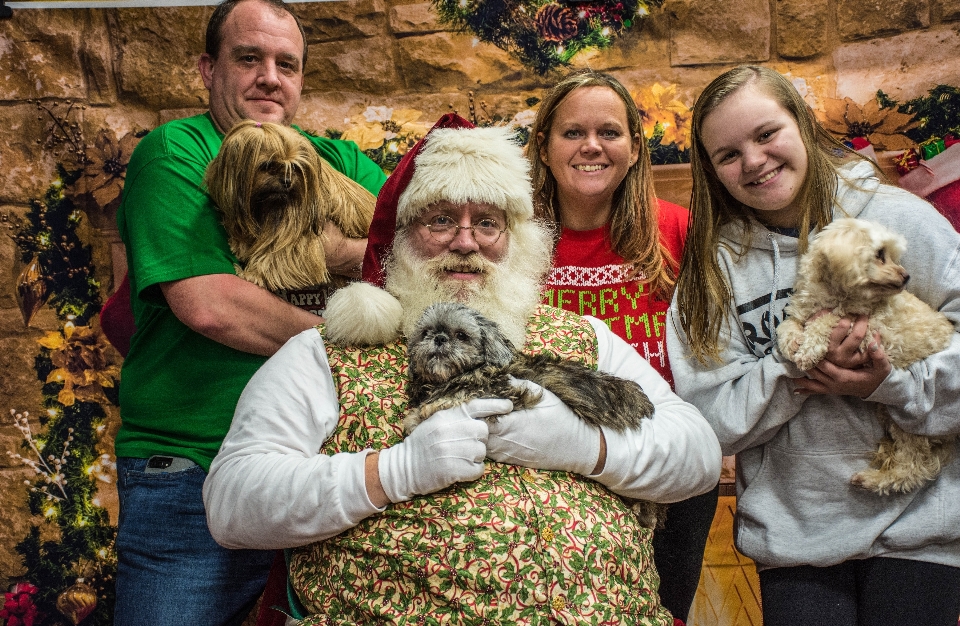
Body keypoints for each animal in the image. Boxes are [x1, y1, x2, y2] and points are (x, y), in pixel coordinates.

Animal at [203, 120, 376, 292]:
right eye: (268, 165)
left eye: (294, 167)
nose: (287, 181)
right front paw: (240, 243)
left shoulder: (296, 227)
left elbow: (277, 254)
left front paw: (253, 275)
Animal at [776, 217, 956, 494]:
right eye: (880, 254)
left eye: (893, 254)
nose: (907, 276)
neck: (838, 295)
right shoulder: (802, 311)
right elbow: (787, 325)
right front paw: (792, 341)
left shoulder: (871, 332)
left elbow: (827, 319)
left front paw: (809, 348)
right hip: (888, 414)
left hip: (910, 425)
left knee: (914, 468)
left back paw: (874, 480)